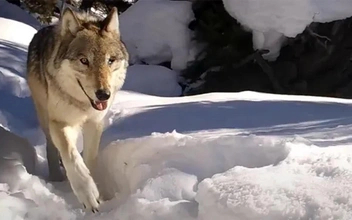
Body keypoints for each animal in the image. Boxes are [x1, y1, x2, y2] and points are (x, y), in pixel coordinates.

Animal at [25, 6, 129, 212]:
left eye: (110, 60)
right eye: (84, 60)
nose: (103, 95)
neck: (83, 105)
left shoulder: (95, 123)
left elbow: (90, 158)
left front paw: (99, 193)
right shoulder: (60, 122)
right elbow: (72, 157)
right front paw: (88, 194)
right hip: (45, 116)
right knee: (52, 146)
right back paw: (56, 176)